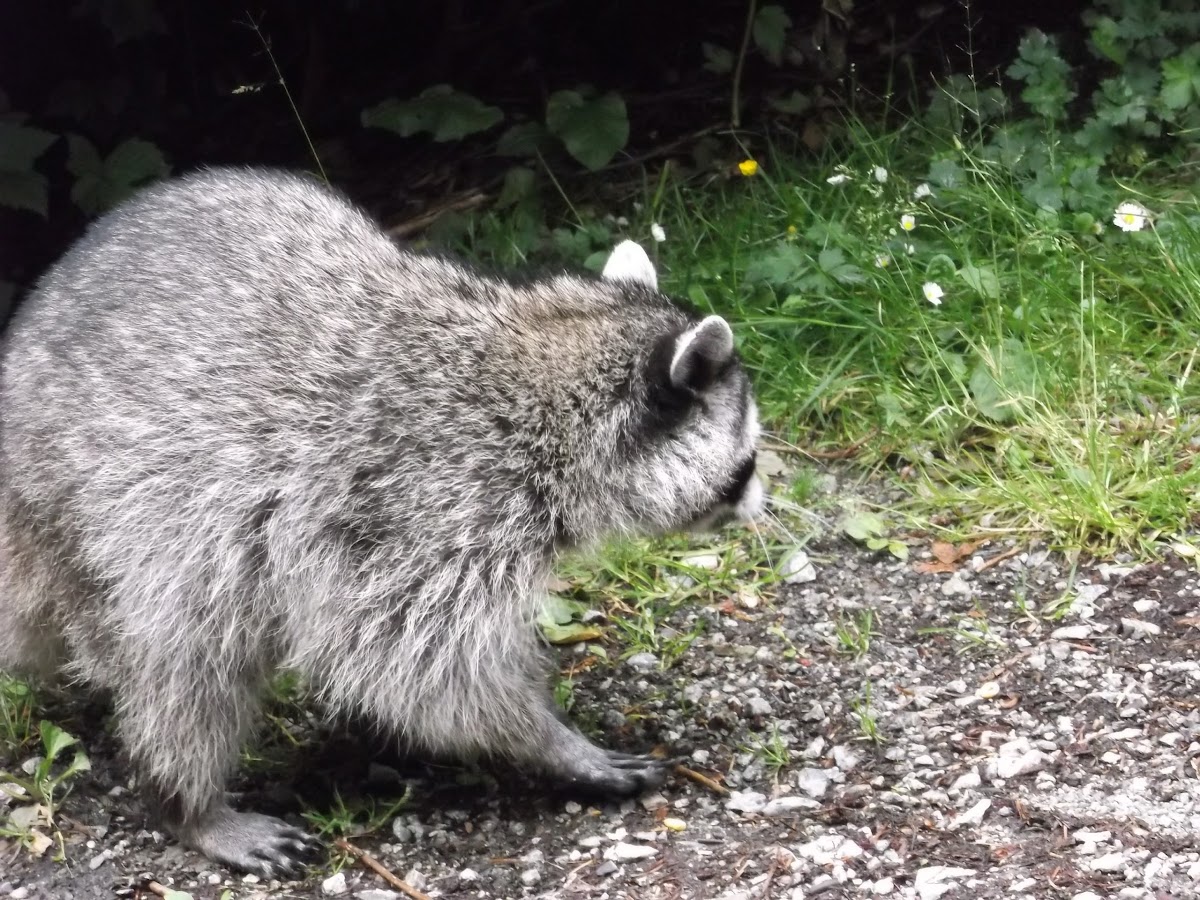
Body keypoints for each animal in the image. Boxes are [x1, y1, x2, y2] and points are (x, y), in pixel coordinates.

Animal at [0, 165, 763, 878]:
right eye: (748, 463)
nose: (764, 505)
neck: (549, 368)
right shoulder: (426, 505)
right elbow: (412, 669)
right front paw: (553, 743)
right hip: (126, 523)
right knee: (188, 662)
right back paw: (188, 801)